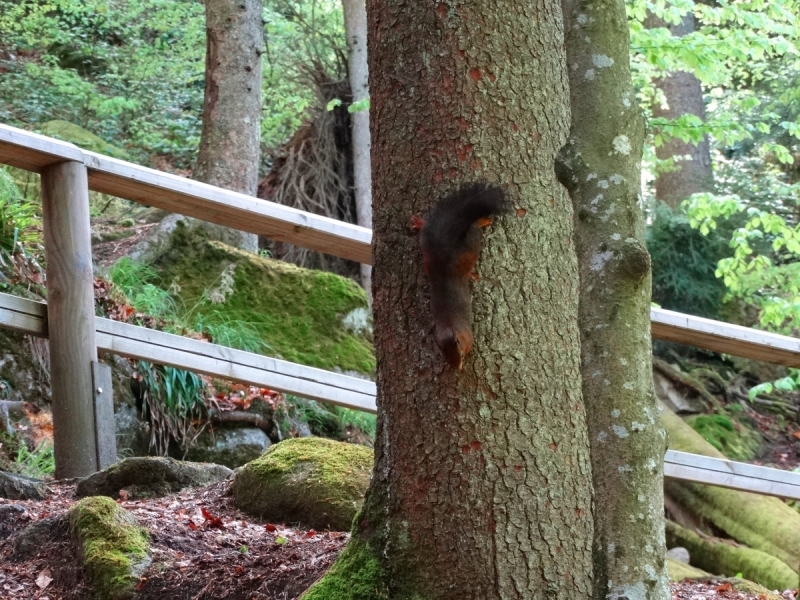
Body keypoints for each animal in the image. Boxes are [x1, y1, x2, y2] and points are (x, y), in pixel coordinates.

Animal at [412, 183, 506, 370]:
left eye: (460, 354)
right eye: (445, 356)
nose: (458, 368)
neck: (450, 326)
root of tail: (444, 256)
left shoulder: (468, 336)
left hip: (471, 244)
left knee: (473, 229)